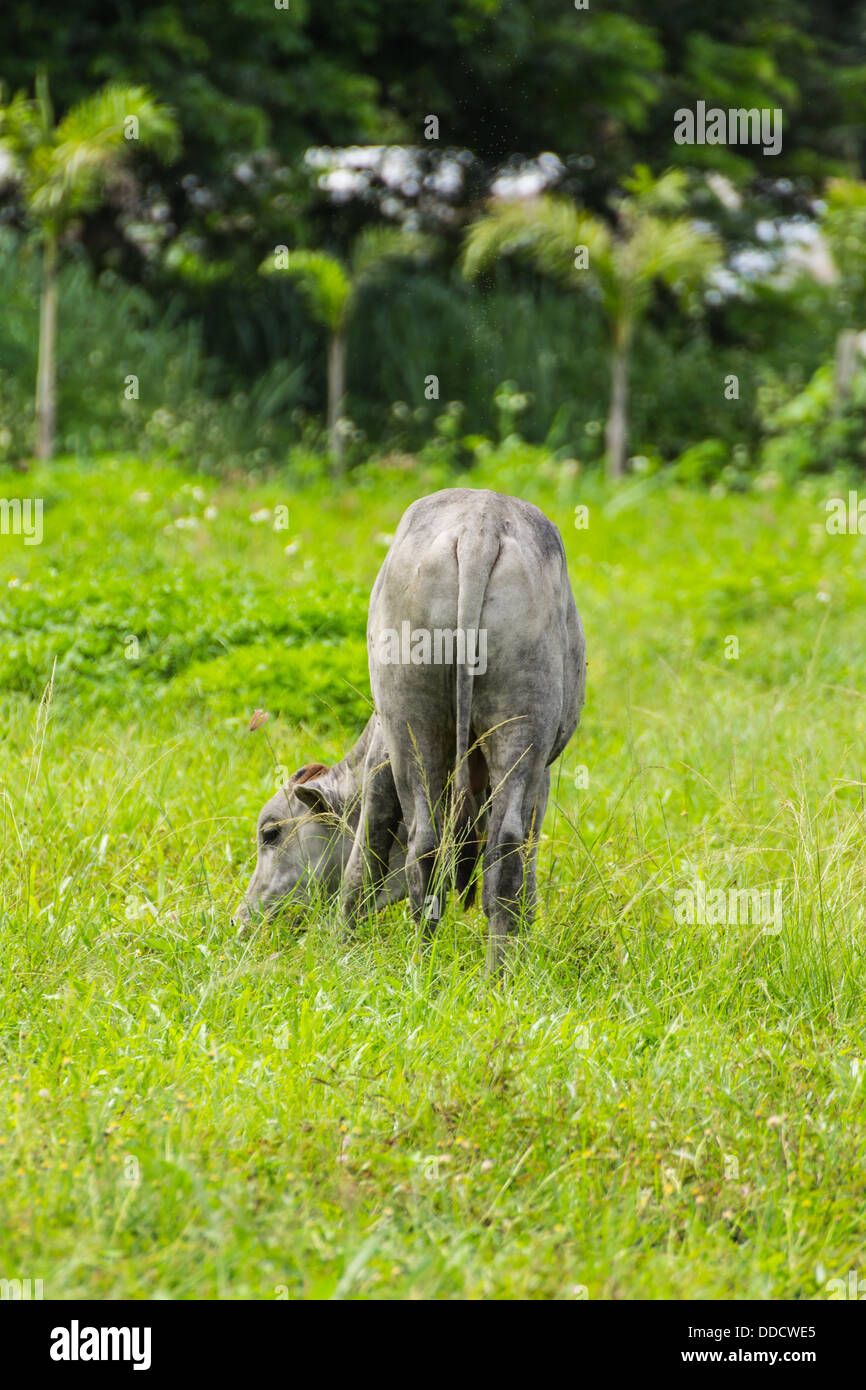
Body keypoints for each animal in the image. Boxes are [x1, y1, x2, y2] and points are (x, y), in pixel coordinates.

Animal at [239, 489, 589, 978]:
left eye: (270, 833)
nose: (244, 919)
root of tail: (480, 523)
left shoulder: (381, 764)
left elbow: (361, 864)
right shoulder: (540, 778)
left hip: (423, 726)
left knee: (441, 848)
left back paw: (442, 969)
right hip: (497, 732)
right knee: (481, 850)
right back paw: (475, 974)